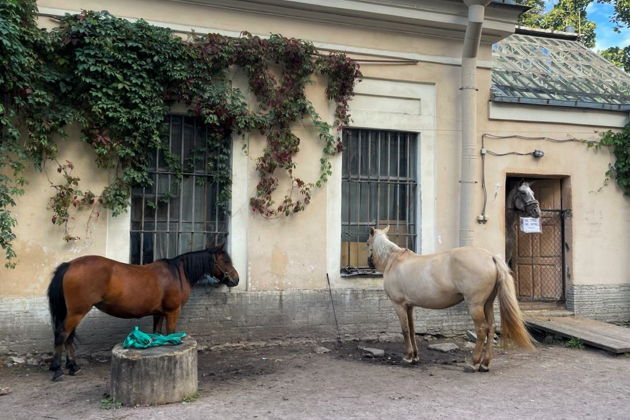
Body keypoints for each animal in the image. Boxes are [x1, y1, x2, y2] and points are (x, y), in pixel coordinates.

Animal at [47, 244, 239, 382]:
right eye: (226, 261)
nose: (235, 279)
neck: (177, 274)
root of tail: (70, 264)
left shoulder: (159, 313)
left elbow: (158, 333)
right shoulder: (172, 312)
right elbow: (171, 332)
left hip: (74, 312)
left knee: (69, 336)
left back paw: (73, 367)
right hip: (77, 312)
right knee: (62, 334)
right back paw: (57, 370)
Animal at [368, 228, 536, 372]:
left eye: (368, 243)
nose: (369, 263)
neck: (394, 260)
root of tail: (490, 256)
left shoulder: (399, 305)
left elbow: (405, 330)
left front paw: (408, 357)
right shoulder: (409, 306)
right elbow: (412, 329)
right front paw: (415, 356)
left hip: (475, 305)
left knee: (482, 329)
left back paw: (473, 363)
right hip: (487, 304)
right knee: (492, 327)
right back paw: (485, 364)